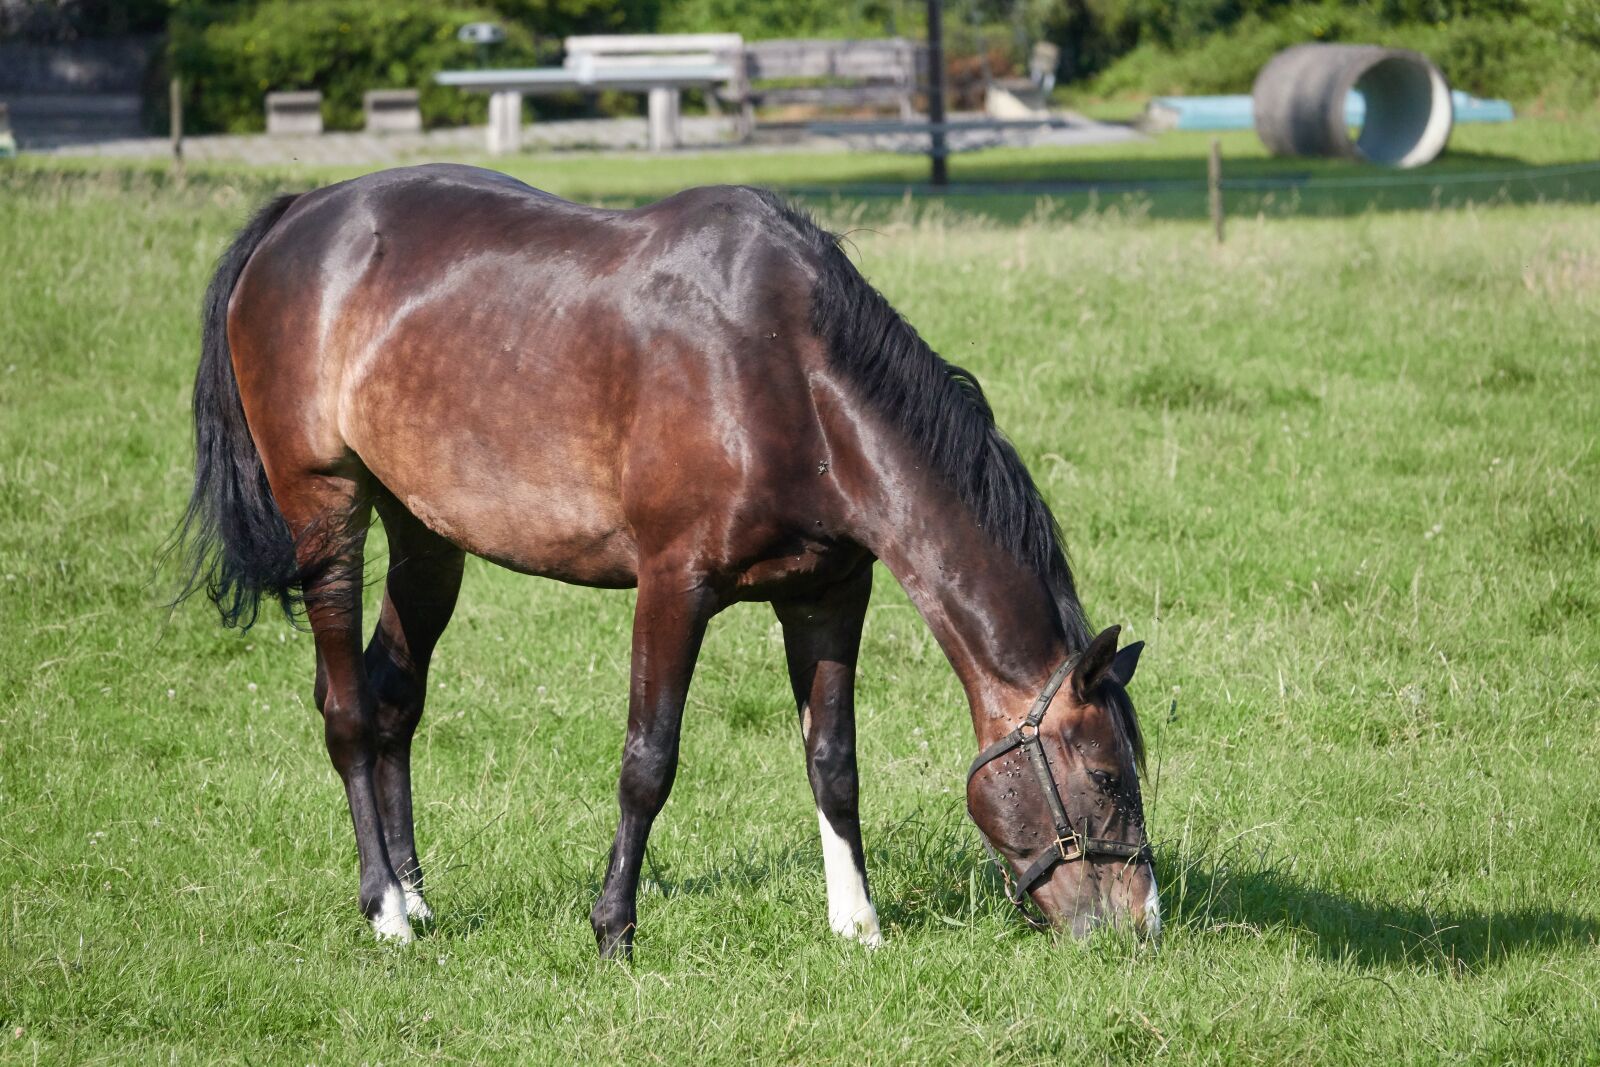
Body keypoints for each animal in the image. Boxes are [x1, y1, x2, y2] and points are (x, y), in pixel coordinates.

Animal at [173, 164, 1157, 956]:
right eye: (1109, 776)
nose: (1142, 925)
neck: (789, 378)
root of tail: (300, 216)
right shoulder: (672, 585)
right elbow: (649, 760)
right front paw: (614, 927)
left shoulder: (828, 593)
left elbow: (834, 760)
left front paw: (858, 923)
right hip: (324, 509)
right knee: (346, 709)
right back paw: (384, 911)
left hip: (425, 534)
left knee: (392, 701)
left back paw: (416, 898)